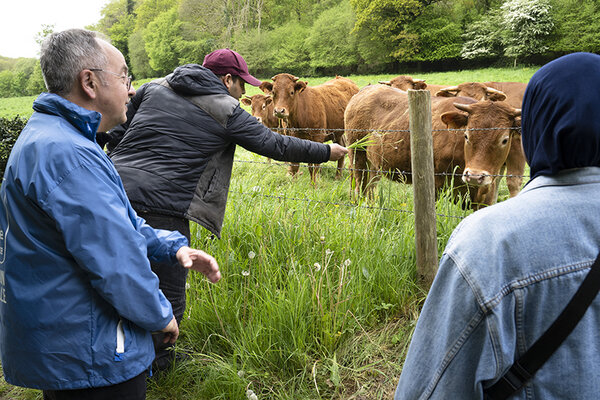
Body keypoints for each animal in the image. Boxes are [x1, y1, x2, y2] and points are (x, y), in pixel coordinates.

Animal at [344, 85, 524, 208]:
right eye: (466, 135)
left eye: (504, 139)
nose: (474, 176)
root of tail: (365, 90)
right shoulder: (436, 185)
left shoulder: (485, 195)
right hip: (358, 156)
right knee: (360, 185)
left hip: (374, 164)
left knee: (370, 187)